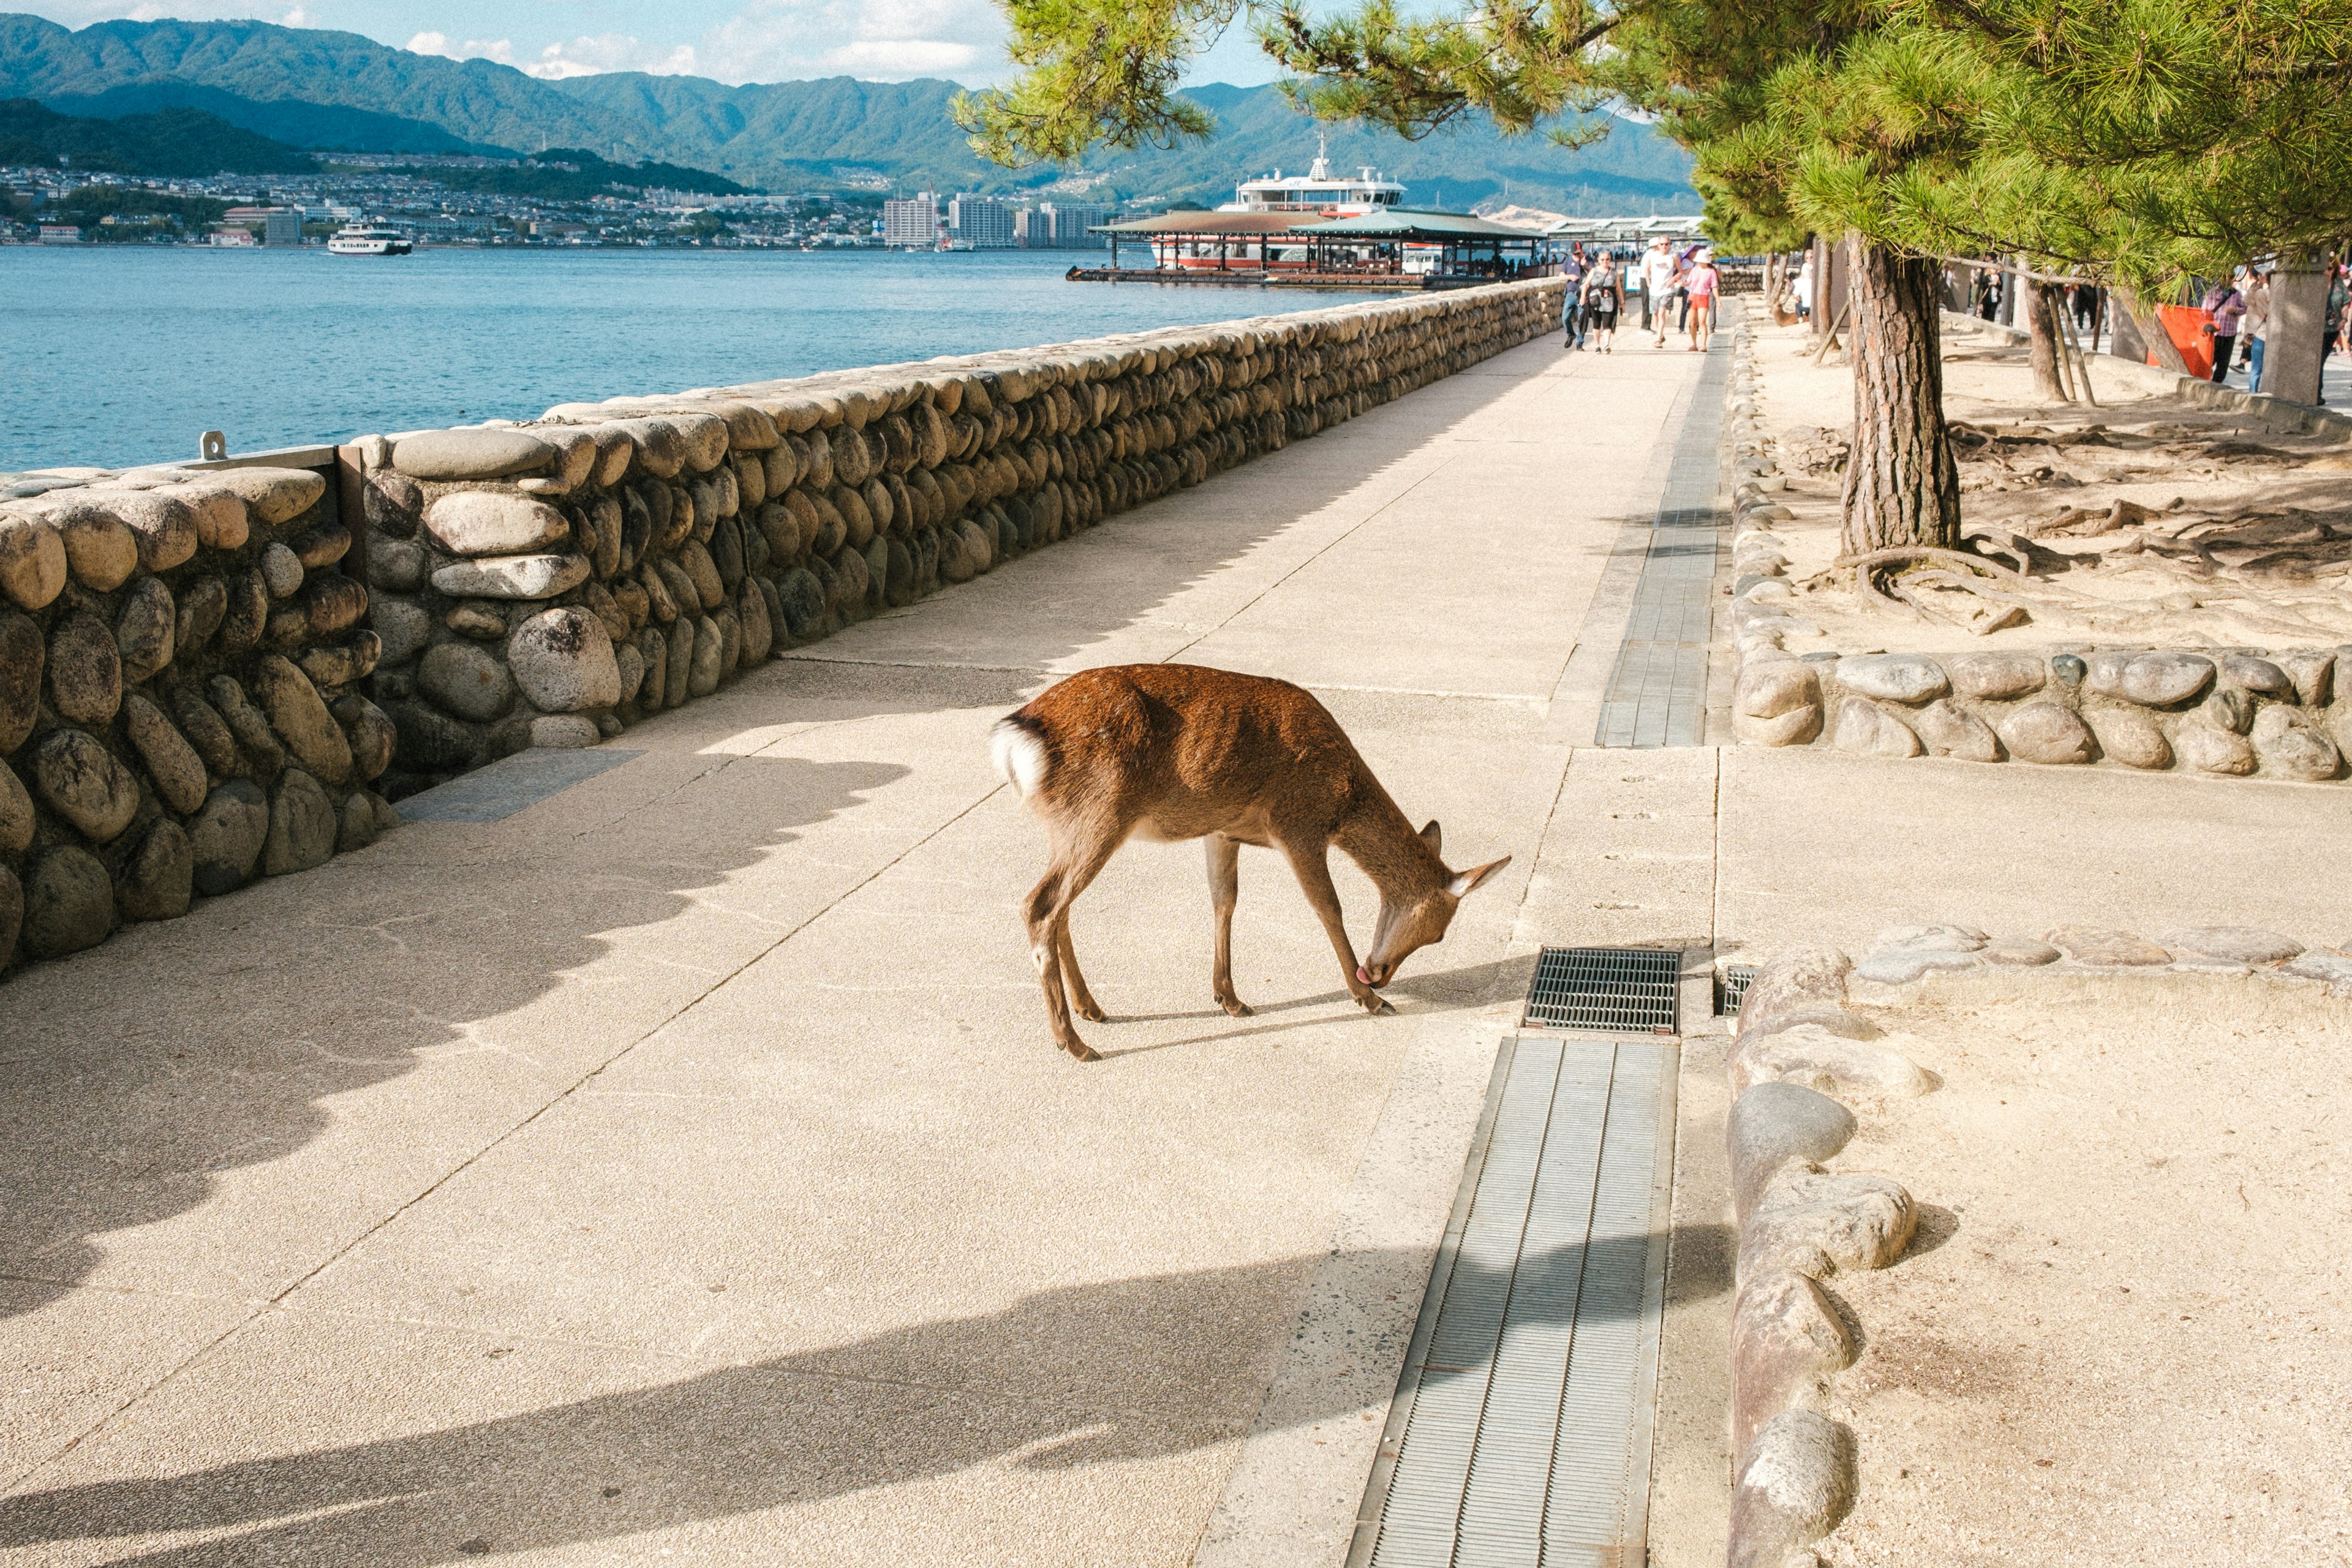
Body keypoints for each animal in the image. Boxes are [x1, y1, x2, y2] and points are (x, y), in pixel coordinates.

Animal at [987, 668, 1505, 1062]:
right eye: (1440, 935)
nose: (1378, 973)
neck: (1342, 802)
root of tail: (1017, 737)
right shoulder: (1297, 825)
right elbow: (1328, 907)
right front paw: (1370, 1001)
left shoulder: (1223, 830)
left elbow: (1225, 900)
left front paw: (1229, 998)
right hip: (1101, 812)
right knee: (1039, 905)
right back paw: (1074, 1043)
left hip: (1068, 826)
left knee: (1059, 909)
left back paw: (1091, 1008)